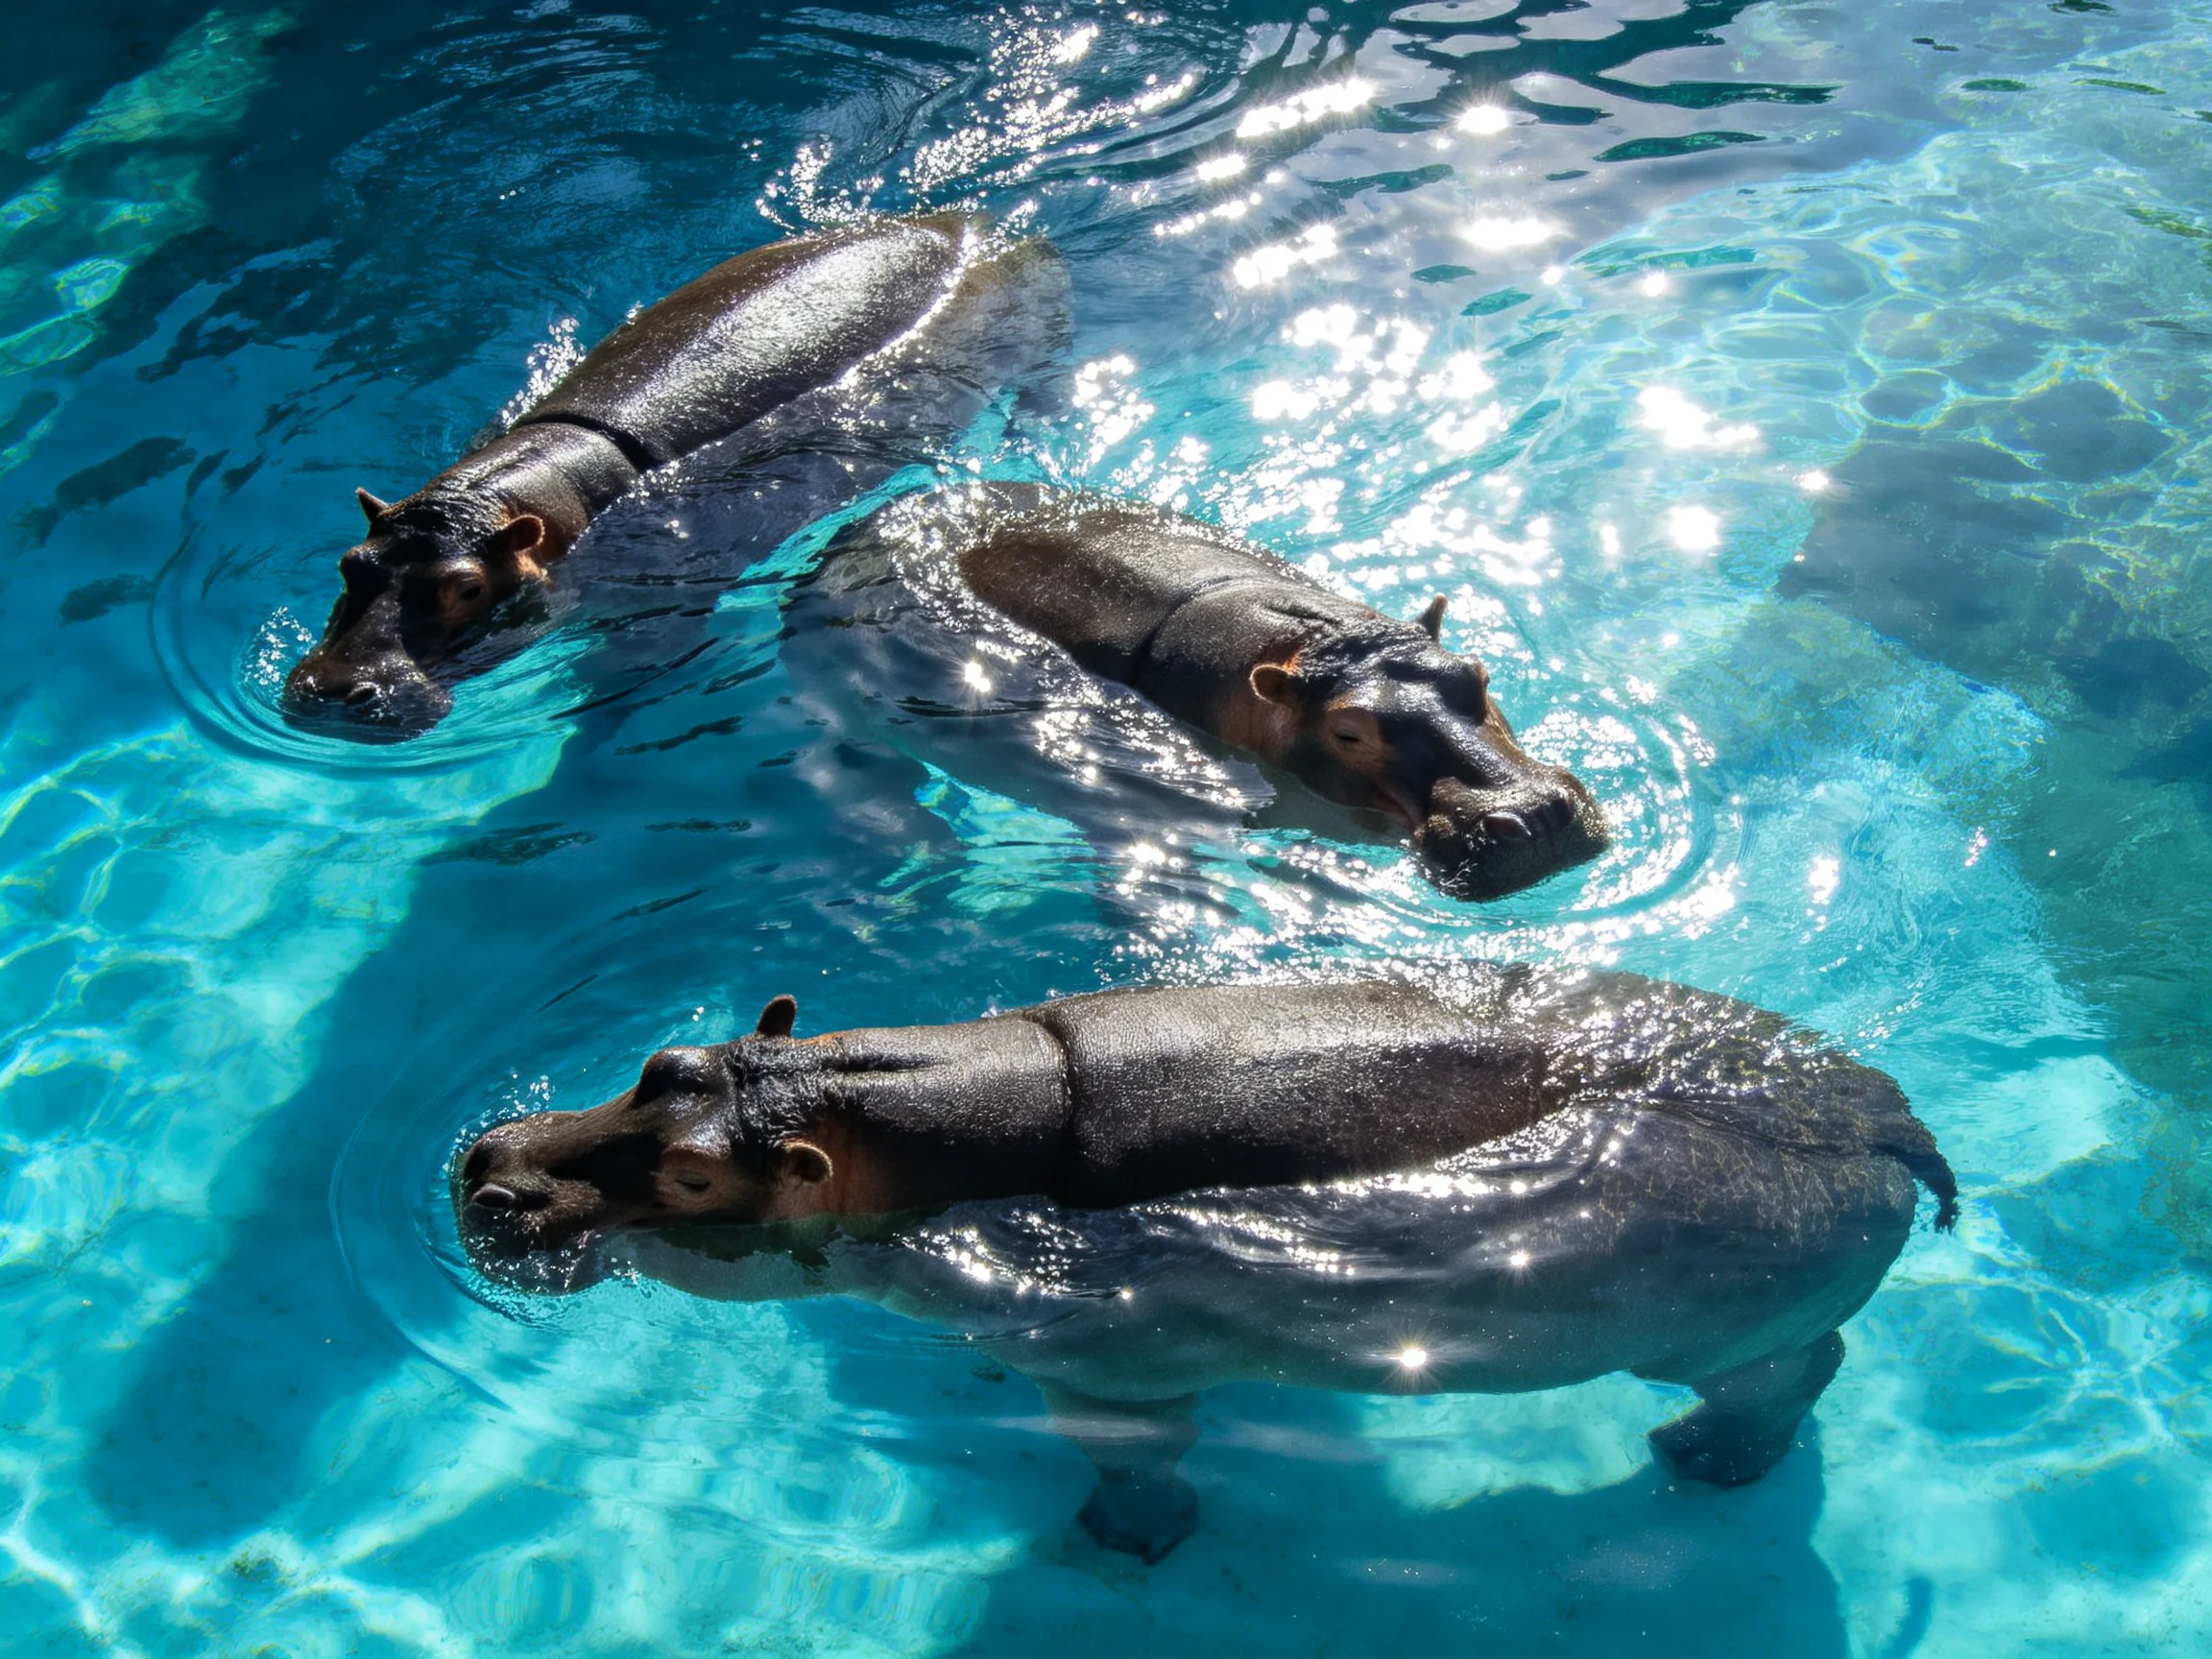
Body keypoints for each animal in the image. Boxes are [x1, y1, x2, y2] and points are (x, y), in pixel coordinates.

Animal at [456, 969, 1955, 1561]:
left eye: (697, 1176)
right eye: (664, 1061)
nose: (488, 1171)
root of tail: (1899, 1126)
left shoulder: (1119, 1367)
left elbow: (1135, 1458)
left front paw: (1125, 1539)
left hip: (1714, 1329)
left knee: (1798, 1366)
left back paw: (1701, 1465)